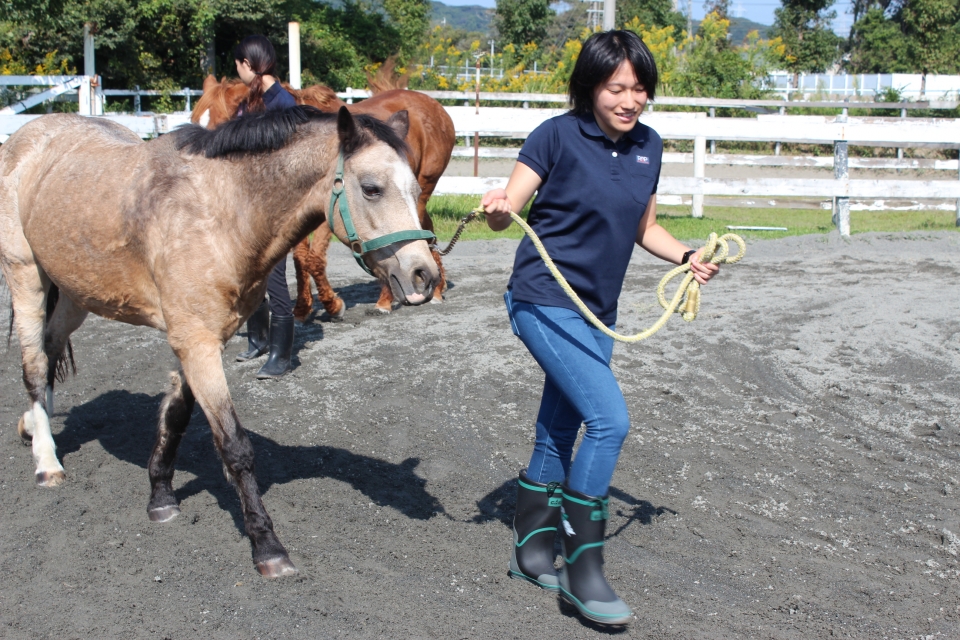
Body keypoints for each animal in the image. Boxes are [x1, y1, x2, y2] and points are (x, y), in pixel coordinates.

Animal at [0, 106, 438, 580]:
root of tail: (27, 135)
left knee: (50, 347)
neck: (220, 211)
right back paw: (46, 460)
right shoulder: (197, 343)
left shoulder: (199, 340)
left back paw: (34, 424)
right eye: (372, 188)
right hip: (26, 275)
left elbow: (175, 416)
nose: (424, 276)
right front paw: (267, 547)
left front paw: (161, 496)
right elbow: (234, 446)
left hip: (76, 293)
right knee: (34, 365)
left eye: (416, 190)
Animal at [192, 75, 458, 318]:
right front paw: (303, 307)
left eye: (218, 123)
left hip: (423, 188)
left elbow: (314, 258)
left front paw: (333, 304)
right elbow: (301, 258)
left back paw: (390, 297)